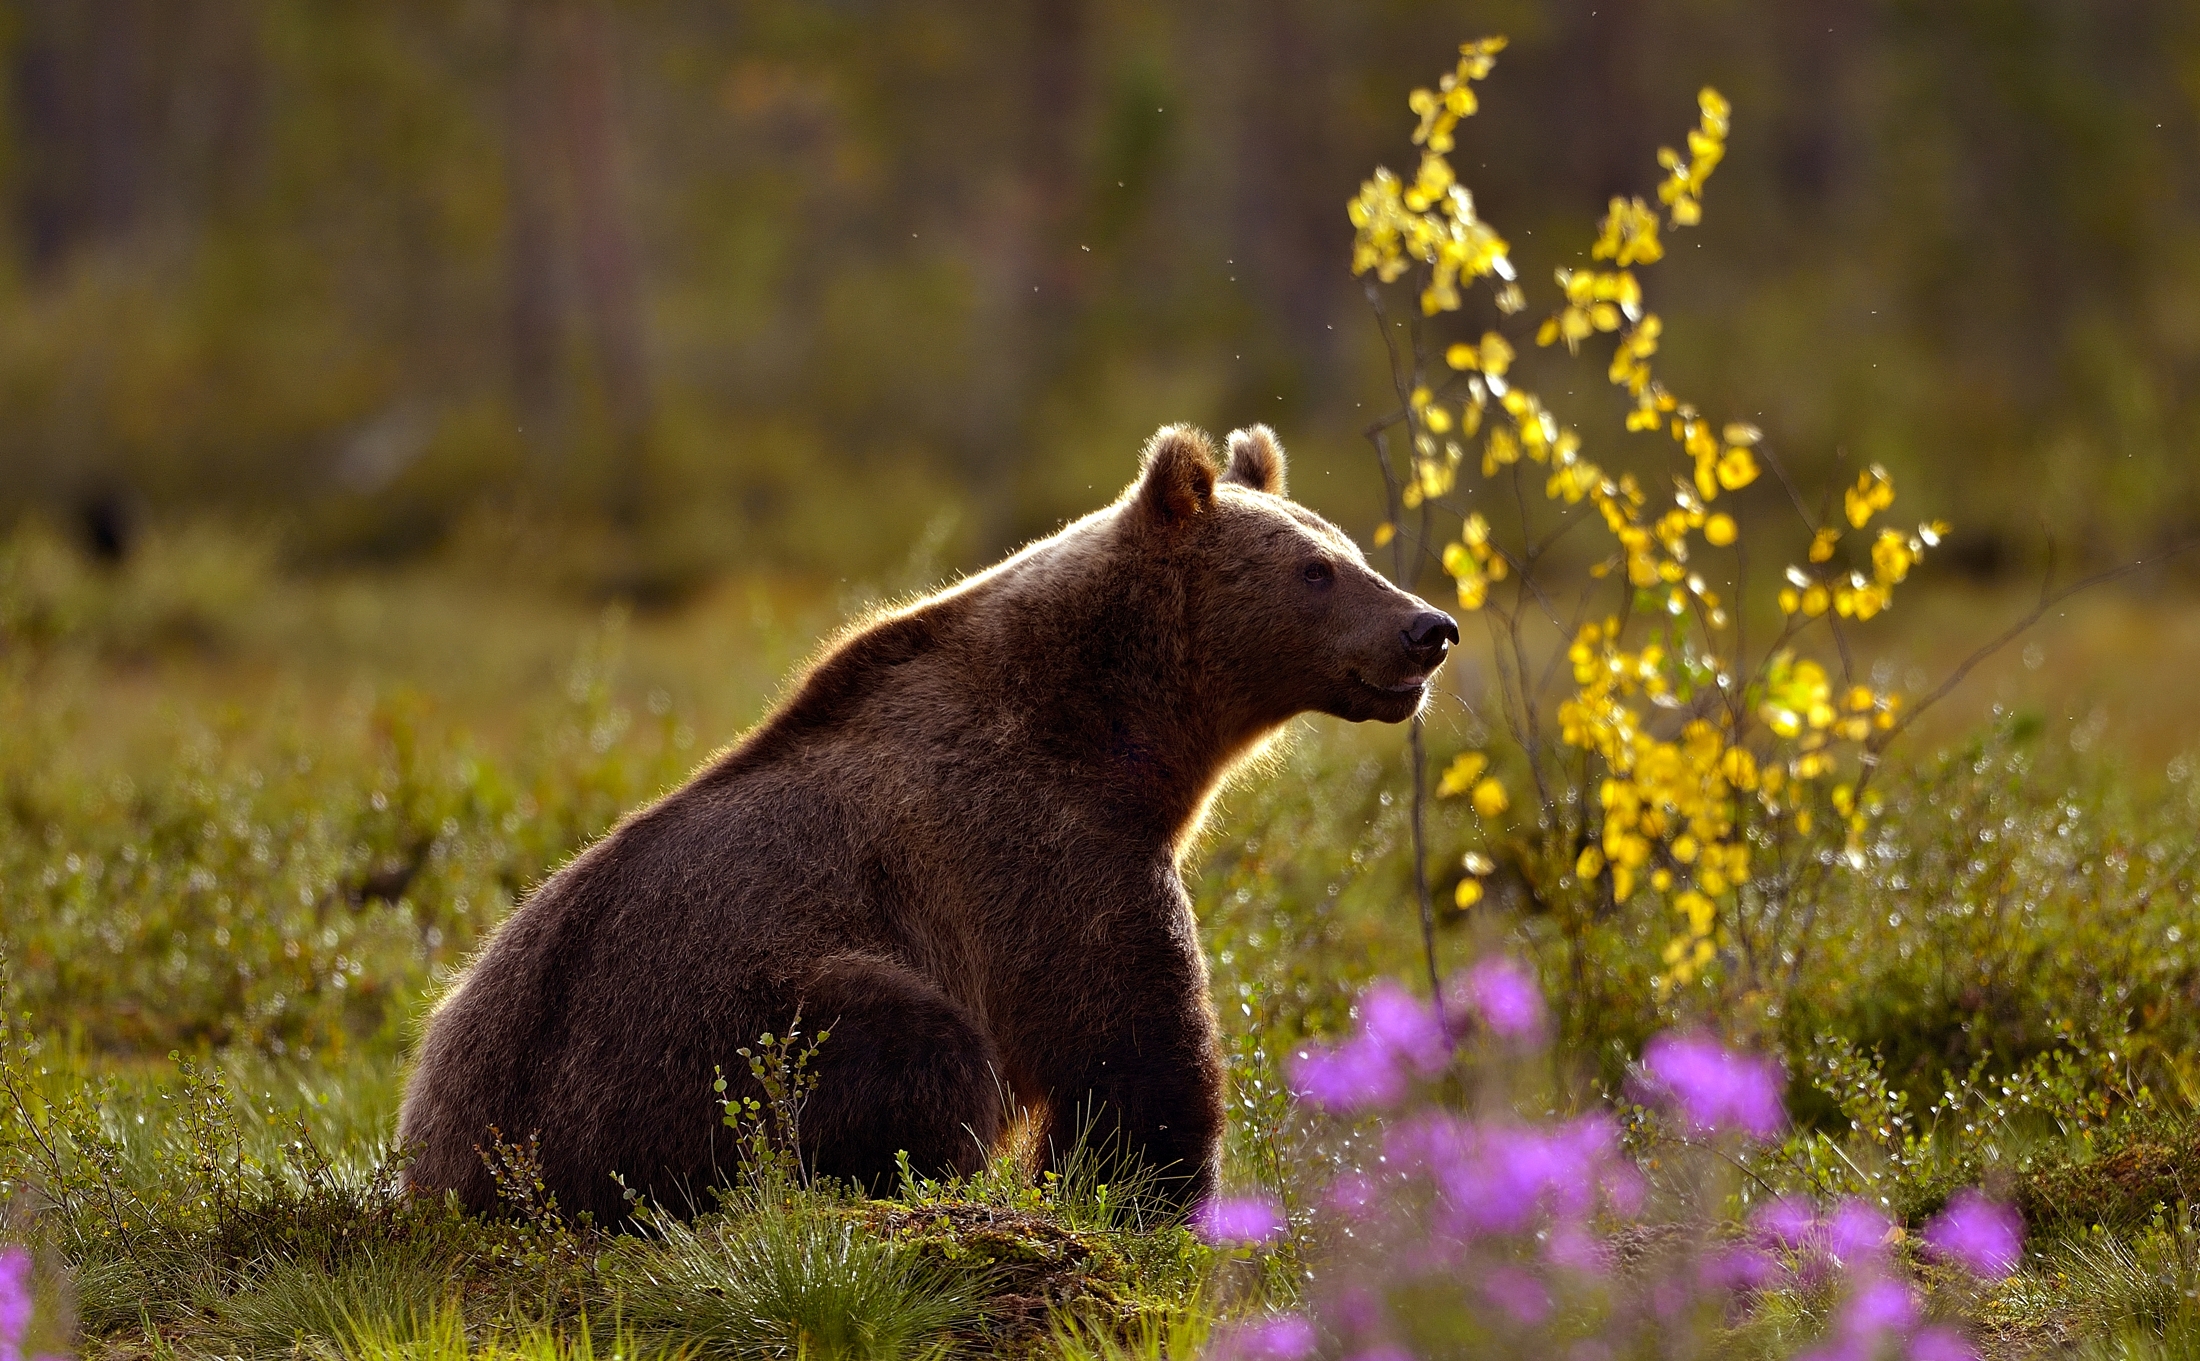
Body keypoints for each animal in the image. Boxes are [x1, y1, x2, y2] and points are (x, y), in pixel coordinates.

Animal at [397, 423, 1459, 1222]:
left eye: (1352, 549)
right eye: (1315, 570)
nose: (1429, 627)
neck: (1116, 728)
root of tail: (451, 1173)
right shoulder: (1036, 845)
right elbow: (1129, 1037)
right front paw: (1148, 1196)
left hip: (479, 1026)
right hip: (690, 1045)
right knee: (915, 1045)